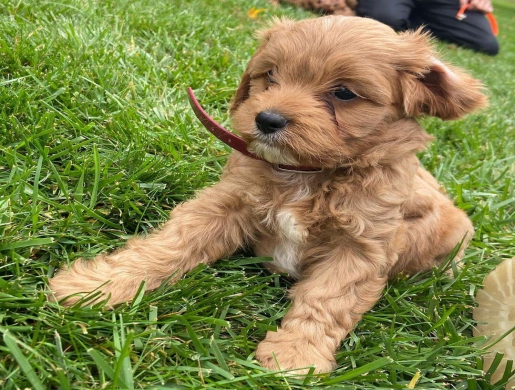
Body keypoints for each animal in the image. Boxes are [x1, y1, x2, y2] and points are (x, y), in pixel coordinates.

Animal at [50, 16, 490, 374]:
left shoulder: (360, 248)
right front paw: (99, 286)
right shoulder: (224, 203)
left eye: (344, 93)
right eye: (271, 75)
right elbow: (169, 245)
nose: (267, 119)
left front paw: (295, 357)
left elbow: (326, 300)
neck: (306, 172)